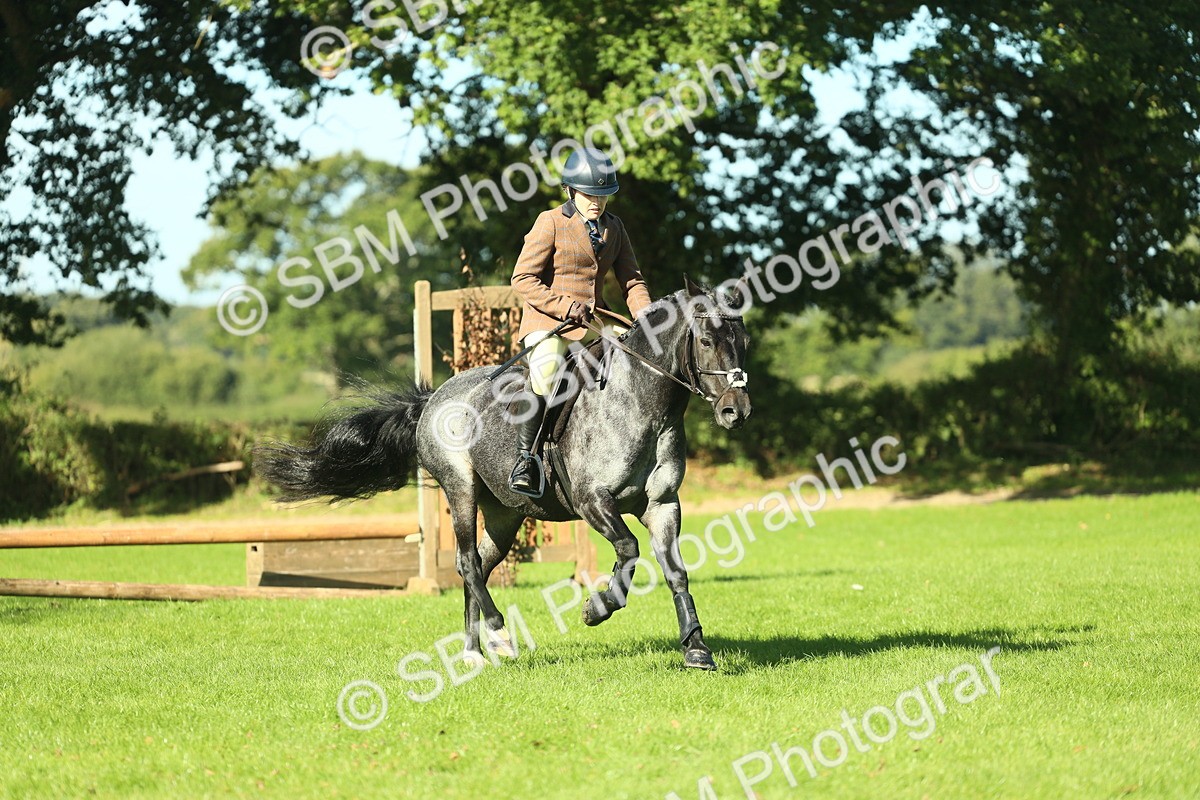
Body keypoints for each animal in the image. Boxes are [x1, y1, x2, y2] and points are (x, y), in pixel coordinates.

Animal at [254, 276, 752, 670]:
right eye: (707, 341)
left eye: (743, 341)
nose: (737, 411)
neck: (642, 405)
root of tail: (432, 398)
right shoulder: (594, 502)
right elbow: (628, 550)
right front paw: (596, 609)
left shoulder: (663, 505)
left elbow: (676, 572)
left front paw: (696, 649)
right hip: (460, 490)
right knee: (467, 562)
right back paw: (500, 636)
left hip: (505, 514)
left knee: (478, 564)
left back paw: (475, 651)